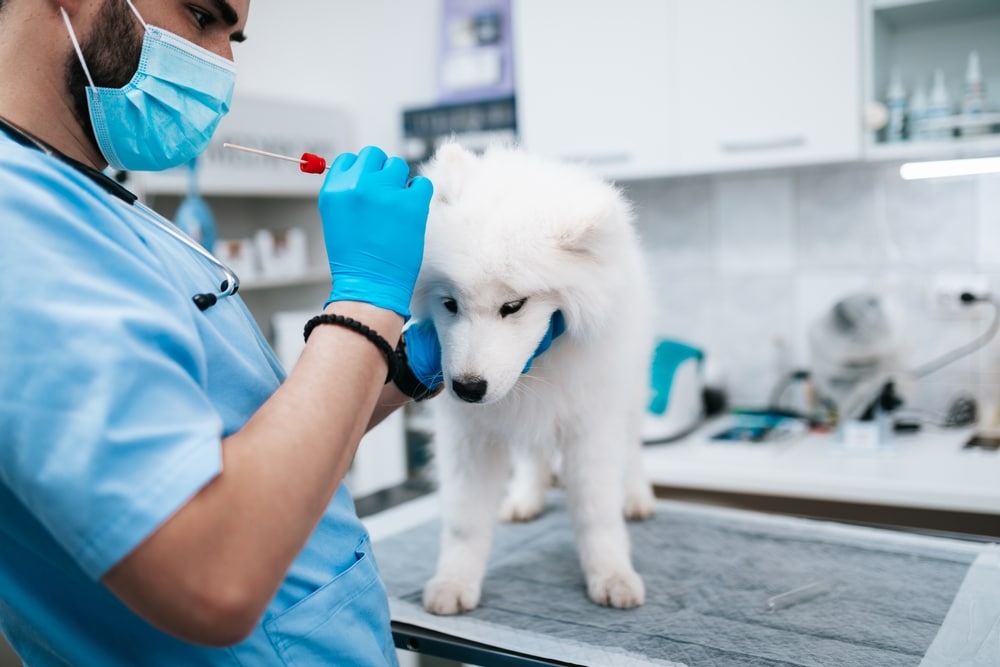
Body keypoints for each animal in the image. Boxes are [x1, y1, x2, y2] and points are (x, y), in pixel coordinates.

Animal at [412, 141, 656, 616]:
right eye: (449, 304)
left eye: (513, 306)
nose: (467, 388)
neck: (540, 368)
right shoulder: (470, 436)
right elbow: (465, 521)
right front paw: (454, 582)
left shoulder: (591, 425)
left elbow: (597, 513)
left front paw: (611, 575)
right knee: (533, 456)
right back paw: (525, 499)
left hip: (630, 392)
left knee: (633, 450)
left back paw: (637, 498)